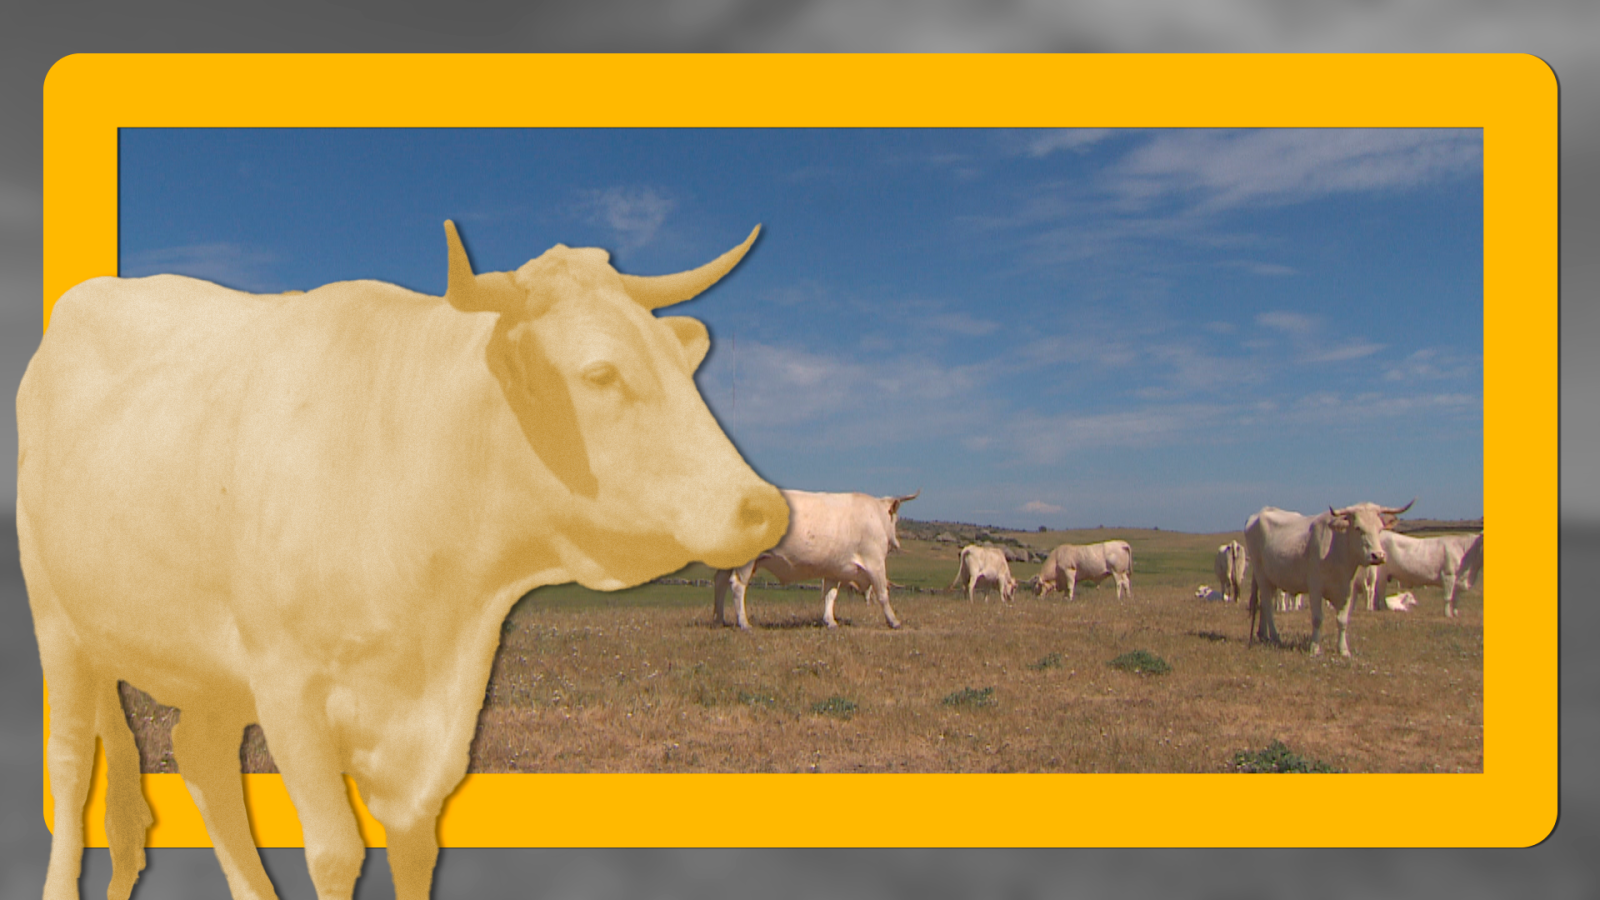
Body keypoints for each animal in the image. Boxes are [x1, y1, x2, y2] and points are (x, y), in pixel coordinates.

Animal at [18, 221, 789, 900]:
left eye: (681, 364)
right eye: (600, 373)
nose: (764, 507)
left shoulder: (433, 721)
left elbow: (414, 847)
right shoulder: (288, 687)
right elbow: (336, 853)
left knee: (200, 756)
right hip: (56, 618)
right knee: (70, 761)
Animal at [713, 489, 919, 630]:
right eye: (895, 519)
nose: (896, 543)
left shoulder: (835, 568)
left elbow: (830, 595)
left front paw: (830, 621)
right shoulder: (875, 562)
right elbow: (883, 594)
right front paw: (894, 621)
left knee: (720, 582)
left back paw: (719, 619)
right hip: (746, 560)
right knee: (737, 585)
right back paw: (744, 623)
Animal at [1244, 501, 1413, 657]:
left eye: (1379, 529)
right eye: (1358, 528)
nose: (1378, 556)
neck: (1338, 551)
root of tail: (1259, 514)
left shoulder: (1347, 589)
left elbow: (1343, 619)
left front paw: (1343, 650)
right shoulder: (1315, 587)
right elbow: (1318, 618)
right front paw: (1315, 648)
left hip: (1271, 579)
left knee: (1265, 604)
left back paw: (1264, 635)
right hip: (1261, 575)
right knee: (1267, 606)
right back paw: (1275, 637)